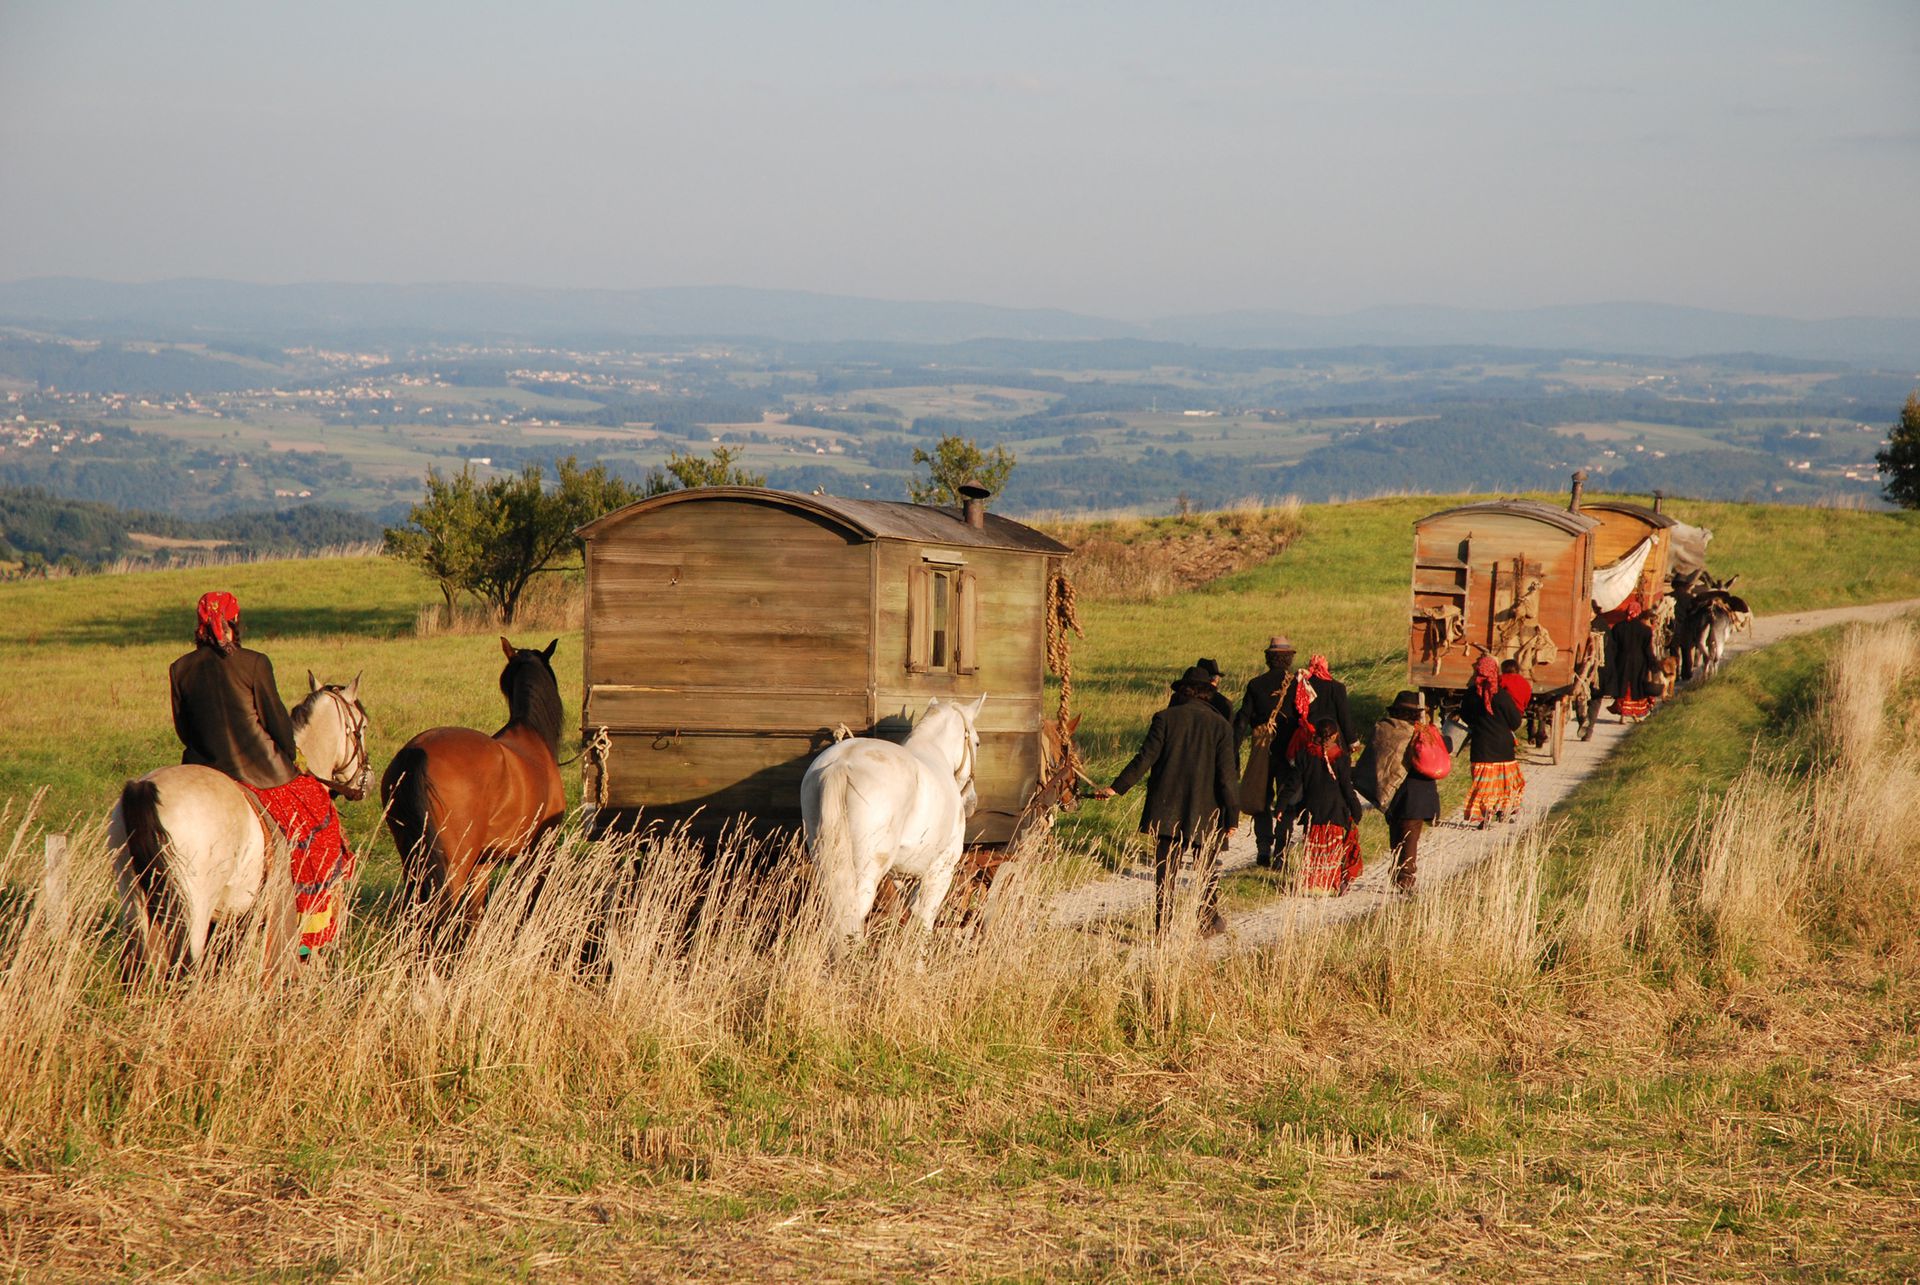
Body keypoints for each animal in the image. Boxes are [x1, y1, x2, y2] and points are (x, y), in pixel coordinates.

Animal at [378, 637, 564, 933]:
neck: (532, 737)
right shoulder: (540, 851)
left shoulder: (482, 865)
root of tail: (415, 751)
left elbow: (475, 916)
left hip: (414, 863)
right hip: (452, 868)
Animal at [798, 691, 983, 941]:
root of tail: (840, 763)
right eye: (977, 742)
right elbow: (924, 923)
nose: (971, 802)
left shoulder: (902, 876)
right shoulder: (940, 871)